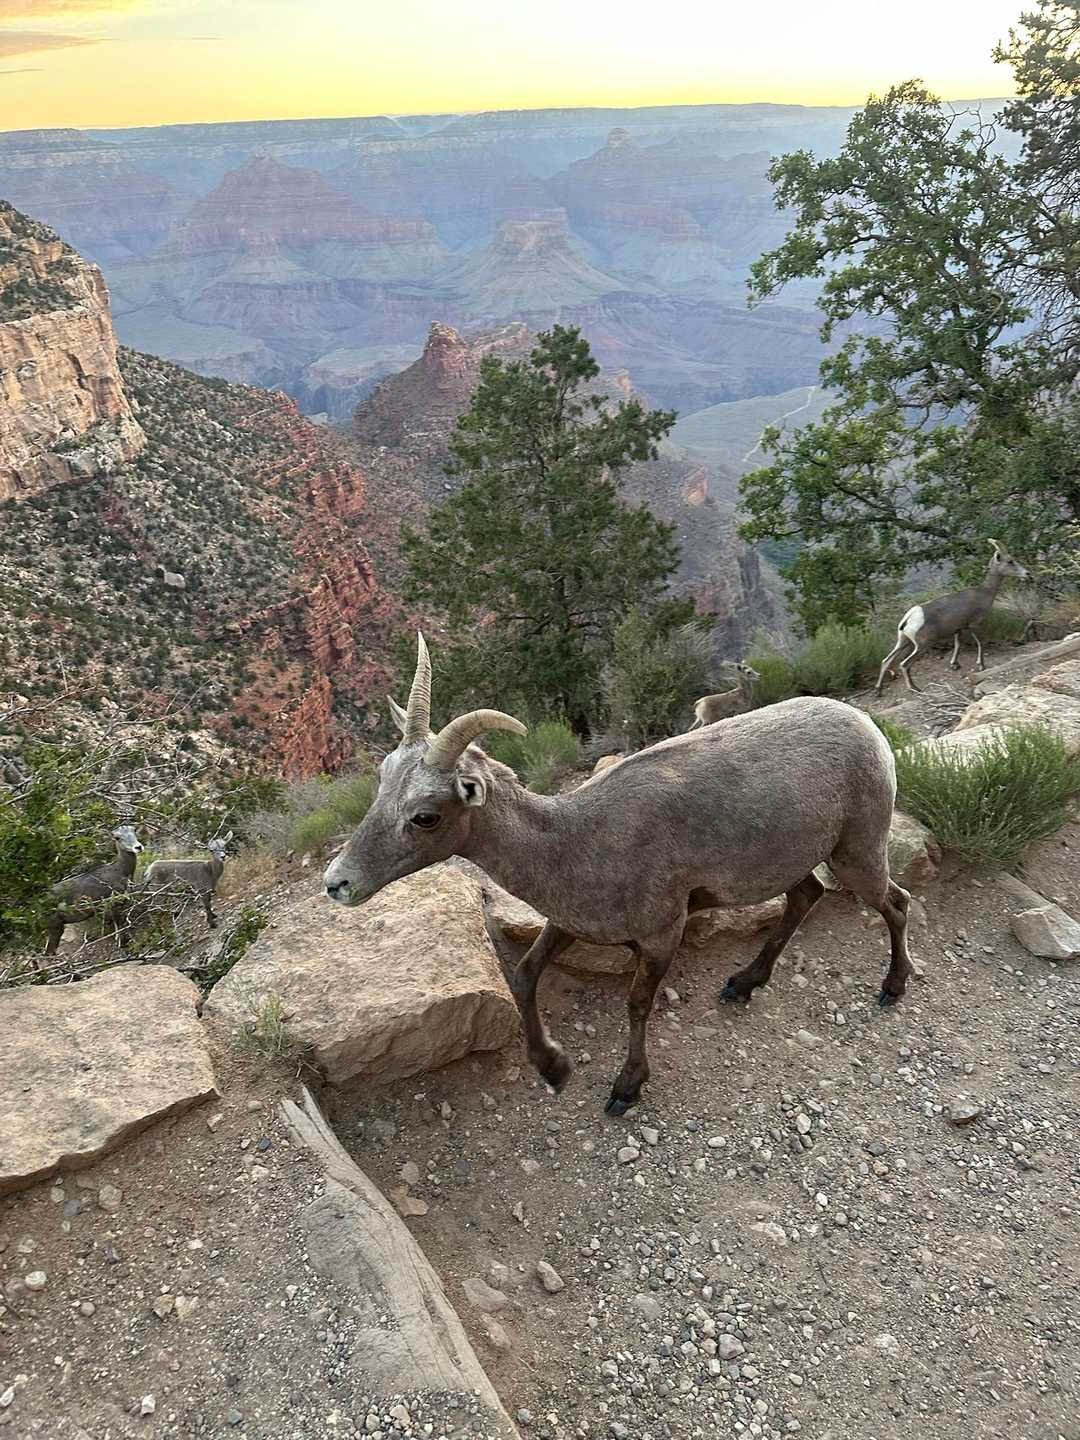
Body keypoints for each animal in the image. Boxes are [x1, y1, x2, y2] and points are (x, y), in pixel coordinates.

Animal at [44, 824, 144, 957]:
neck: (121, 872)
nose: (138, 847)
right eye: (117, 837)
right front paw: (122, 944)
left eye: (134, 831)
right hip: (55, 925)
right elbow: (119, 926)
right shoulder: (113, 904)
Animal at [325, 634, 912, 1118]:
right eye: (382, 779)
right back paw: (743, 984)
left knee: (896, 902)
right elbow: (525, 975)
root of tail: (867, 727)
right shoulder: (568, 922)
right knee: (807, 896)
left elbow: (637, 1003)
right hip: (794, 862)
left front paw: (625, 1089)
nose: (338, 882)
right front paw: (553, 1068)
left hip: (857, 852)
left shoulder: (660, 934)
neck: (576, 841)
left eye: (426, 816)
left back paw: (891, 988)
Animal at [875, 540, 1029, 695]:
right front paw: (981, 666)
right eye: (1010, 561)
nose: (1027, 574)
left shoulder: (958, 629)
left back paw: (878, 690)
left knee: (886, 661)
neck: (984, 593)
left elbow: (958, 645)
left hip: (903, 641)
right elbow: (980, 643)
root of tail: (909, 618)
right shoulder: (975, 625)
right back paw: (915, 688)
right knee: (904, 664)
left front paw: (954, 665)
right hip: (922, 645)